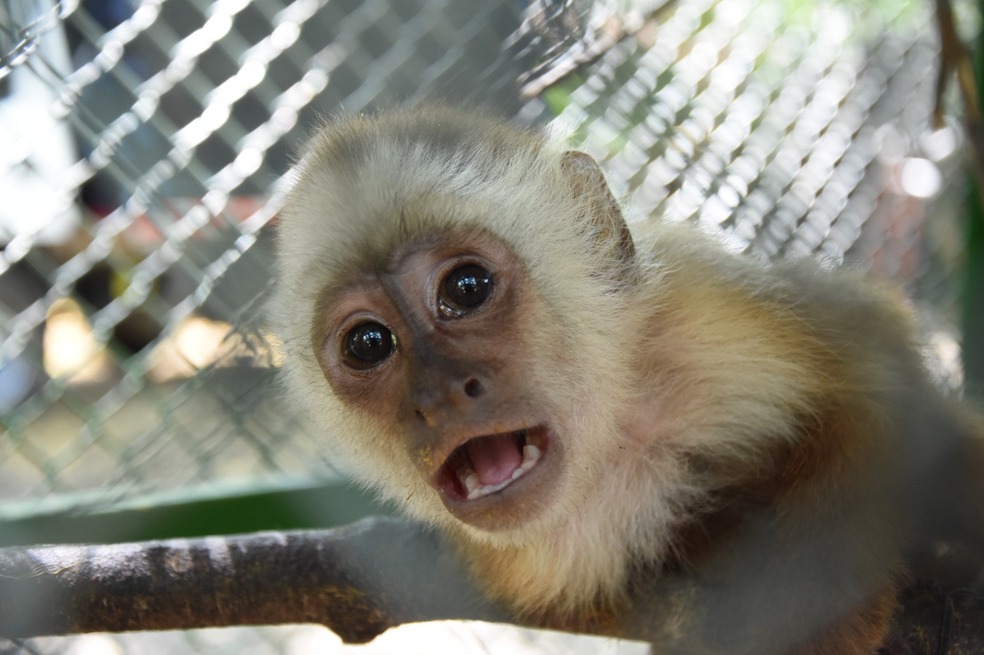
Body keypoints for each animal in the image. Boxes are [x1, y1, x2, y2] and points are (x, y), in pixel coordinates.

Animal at [272, 106, 984, 654]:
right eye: (368, 344)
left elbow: (875, 381)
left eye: (466, 288)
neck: (615, 441)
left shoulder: (707, 314)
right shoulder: (533, 566)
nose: (440, 396)